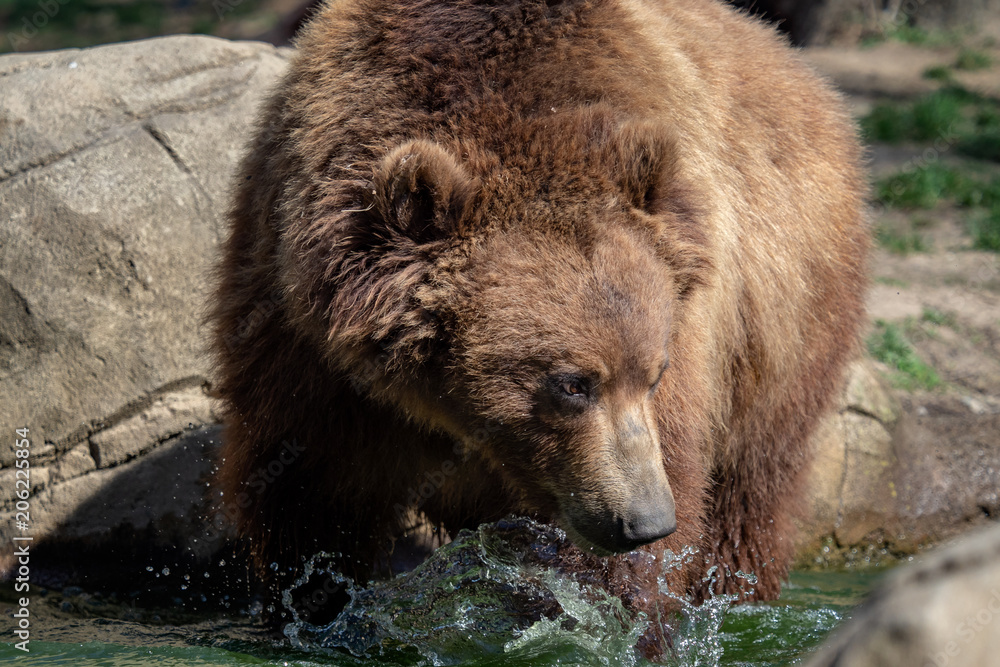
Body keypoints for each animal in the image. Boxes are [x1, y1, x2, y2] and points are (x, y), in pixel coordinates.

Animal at [210, 0, 868, 649]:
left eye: (652, 376)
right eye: (572, 384)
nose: (647, 520)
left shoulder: (686, 326)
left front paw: (611, 622)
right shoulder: (304, 331)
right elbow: (313, 488)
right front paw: (317, 609)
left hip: (786, 309)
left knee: (749, 488)